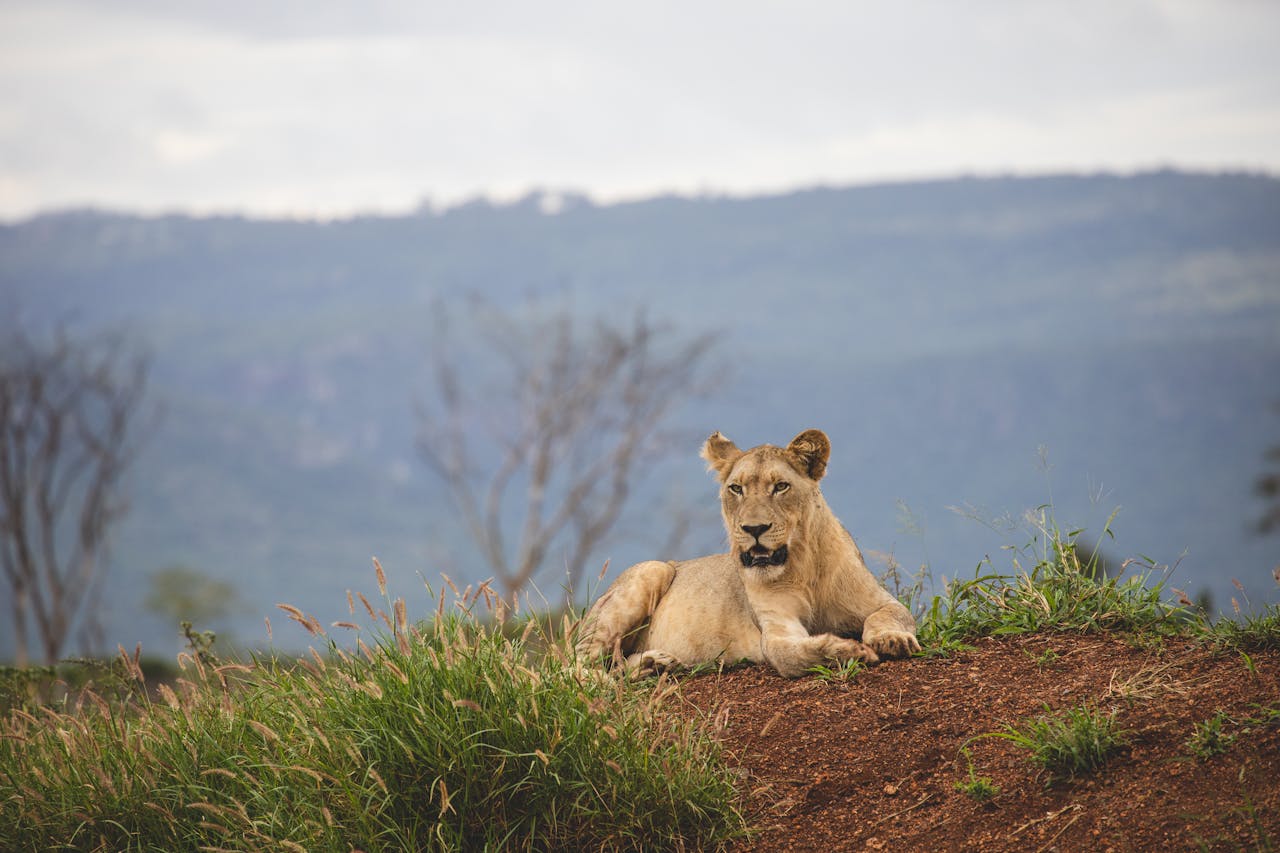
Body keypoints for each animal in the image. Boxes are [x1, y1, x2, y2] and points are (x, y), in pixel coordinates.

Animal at [577, 429, 920, 678]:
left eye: (780, 486)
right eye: (736, 488)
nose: (754, 528)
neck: (803, 567)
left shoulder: (879, 600)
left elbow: (892, 614)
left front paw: (892, 640)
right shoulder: (776, 629)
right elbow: (790, 653)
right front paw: (846, 650)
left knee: (614, 663)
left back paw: (654, 664)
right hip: (651, 570)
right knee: (579, 669)